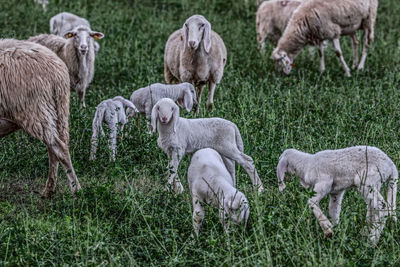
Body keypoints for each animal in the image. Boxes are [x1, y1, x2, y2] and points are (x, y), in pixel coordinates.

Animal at [0, 39, 81, 199]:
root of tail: (57, 71)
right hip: (59, 111)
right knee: (56, 148)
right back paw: (50, 190)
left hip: (36, 110)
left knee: (59, 148)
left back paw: (76, 190)